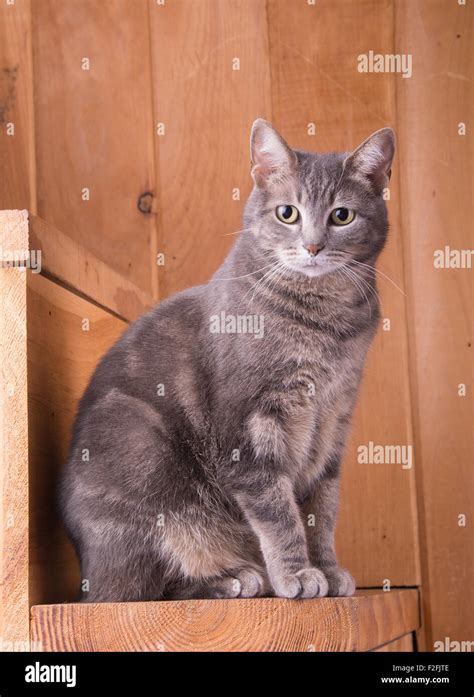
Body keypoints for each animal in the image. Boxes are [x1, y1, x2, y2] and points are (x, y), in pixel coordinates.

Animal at [59, 119, 394, 600]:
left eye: (342, 216)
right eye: (287, 213)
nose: (312, 247)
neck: (324, 324)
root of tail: (87, 572)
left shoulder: (333, 424)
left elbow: (322, 511)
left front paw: (327, 570)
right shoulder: (251, 427)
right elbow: (278, 512)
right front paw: (296, 573)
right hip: (144, 455)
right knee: (148, 586)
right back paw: (234, 578)